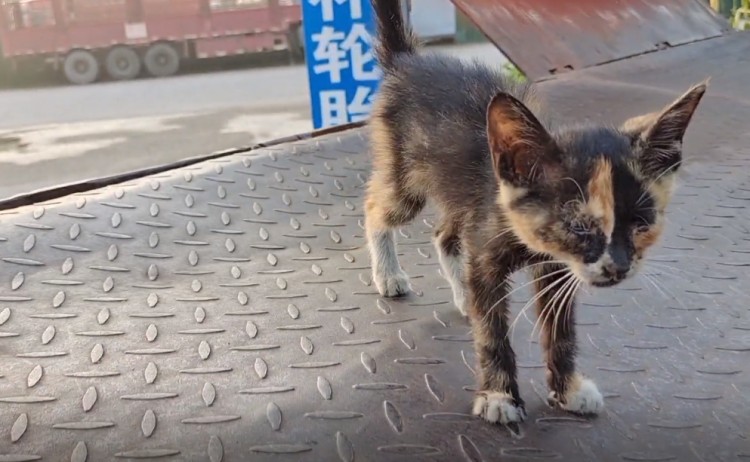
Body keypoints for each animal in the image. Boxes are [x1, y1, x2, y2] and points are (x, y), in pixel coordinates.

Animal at [368, 0, 708, 426]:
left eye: (641, 224)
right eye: (578, 226)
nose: (618, 267)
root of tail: (408, 61)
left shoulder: (557, 269)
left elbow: (561, 330)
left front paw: (568, 389)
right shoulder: (487, 251)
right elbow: (493, 331)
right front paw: (499, 395)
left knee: (444, 235)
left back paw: (463, 295)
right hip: (406, 178)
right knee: (377, 208)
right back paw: (389, 275)